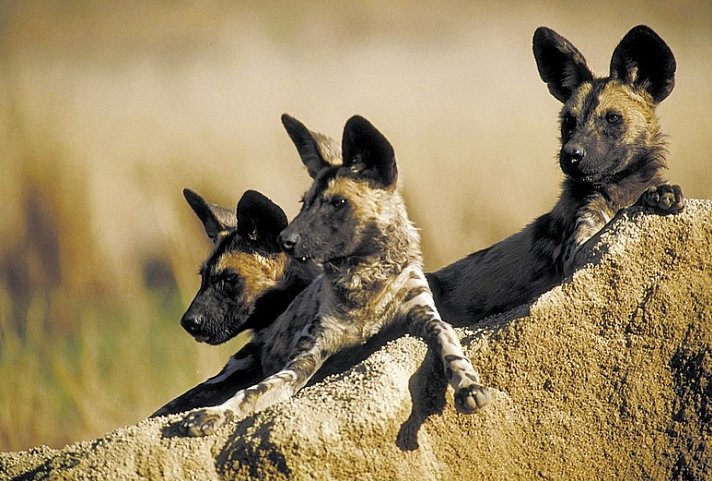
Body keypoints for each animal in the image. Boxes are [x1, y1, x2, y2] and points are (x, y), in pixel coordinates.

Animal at [177, 115, 490, 436]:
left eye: (338, 203)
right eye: (304, 203)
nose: (187, 322)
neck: (365, 282)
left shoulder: (427, 317)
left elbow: (449, 344)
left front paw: (468, 384)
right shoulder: (303, 360)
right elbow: (253, 393)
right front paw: (215, 414)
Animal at [426, 24, 688, 324]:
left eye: (612, 118)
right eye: (568, 122)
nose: (571, 154)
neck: (620, 191)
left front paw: (662, 194)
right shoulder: (581, 251)